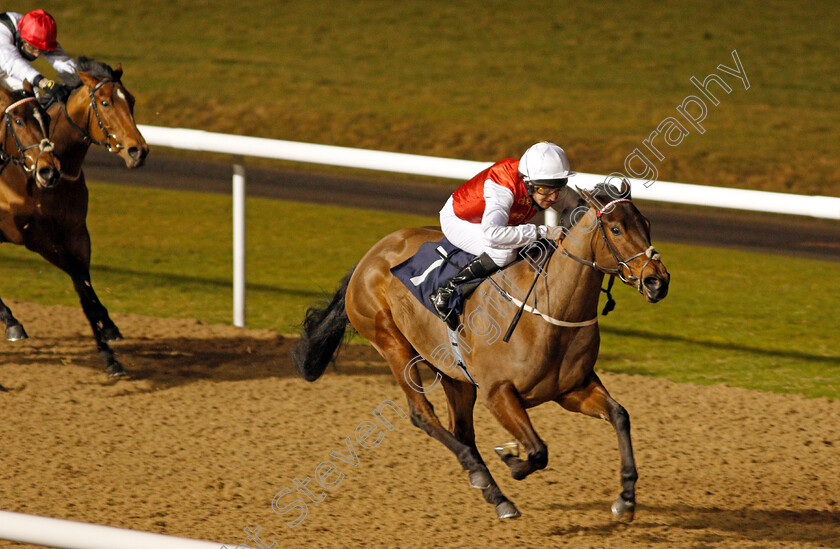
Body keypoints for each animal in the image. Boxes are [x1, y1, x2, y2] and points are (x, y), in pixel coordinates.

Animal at [0, 58, 148, 376]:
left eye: (130, 100)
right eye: (105, 102)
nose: (138, 151)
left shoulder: (77, 232)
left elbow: (84, 283)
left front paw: (109, 337)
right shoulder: (36, 238)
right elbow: (80, 282)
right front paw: (107, 348)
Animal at [294, 182, 668, 520]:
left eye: (647, 224)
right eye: (616, 229)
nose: (658, 281)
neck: (548, 309)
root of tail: (370, 255)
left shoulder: (571, 389)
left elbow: (619, 415)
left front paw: (626, 498)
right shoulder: (498, 393)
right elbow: (537, 451)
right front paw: (511, 458)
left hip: (452, 371)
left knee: (461, 429)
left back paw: (489, 487)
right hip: (391, 343)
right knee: (423, 415)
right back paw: (485, 480)